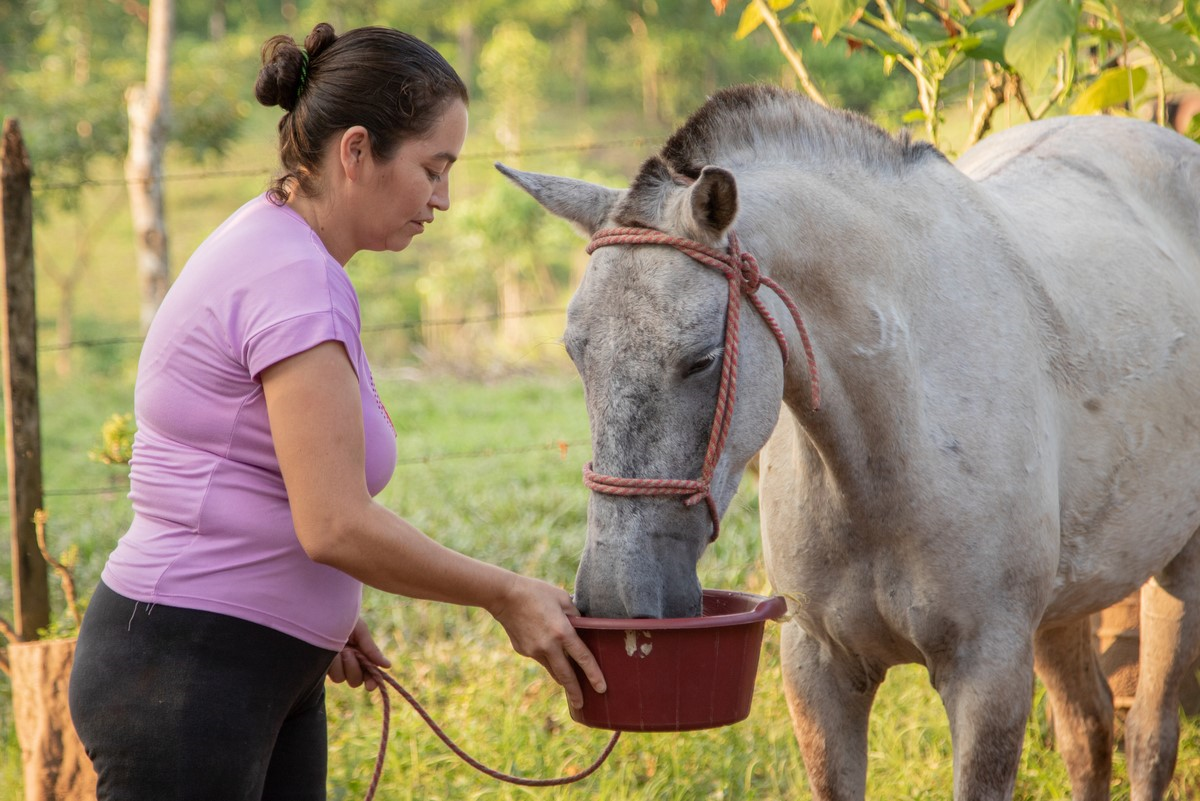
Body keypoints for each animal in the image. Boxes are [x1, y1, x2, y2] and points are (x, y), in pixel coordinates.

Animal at [497, 84, 1200, 800]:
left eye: (701, 360)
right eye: (575, 352)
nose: (616, 600)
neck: (890, 449)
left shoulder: (991, 674)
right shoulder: (818, 668)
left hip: (1177, 573)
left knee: (1149, 737)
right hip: (1063, 608)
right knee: (1088, 734)